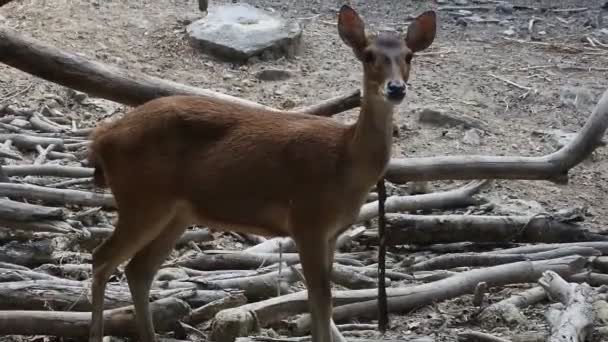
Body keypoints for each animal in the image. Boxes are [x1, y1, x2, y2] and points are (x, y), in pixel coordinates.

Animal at [86, 4, 436, 342]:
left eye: (409, 55)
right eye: (368, 55)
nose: (395, 88)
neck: (345, 162)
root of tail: (102, 139)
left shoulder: (332, 232)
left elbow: (323, 299)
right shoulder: (306, 220)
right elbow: (319, 298)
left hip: (176, 212)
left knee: (138, 270)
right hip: (142, 199)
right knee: (102, 258)